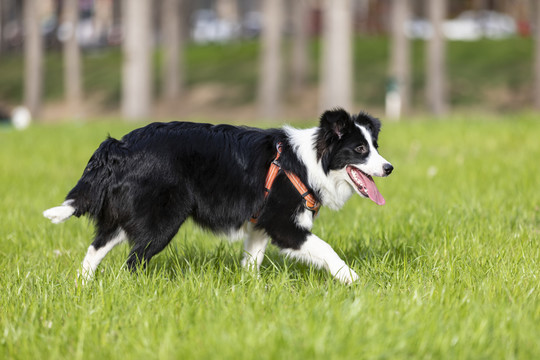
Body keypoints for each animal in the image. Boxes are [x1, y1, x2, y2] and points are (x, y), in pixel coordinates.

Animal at [43, 107, 392, 284]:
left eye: (375, 146)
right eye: (360, 150)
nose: (389, 168)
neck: (309, 163)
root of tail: (119, 145)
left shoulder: (259, 225)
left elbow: (251, 261)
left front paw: (249, 291)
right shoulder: (283, 225)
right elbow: (326, 249)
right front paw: (352, 279)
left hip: (127, 216)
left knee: (96, 249)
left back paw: (84, 287)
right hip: (161, 221)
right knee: (132, 262)